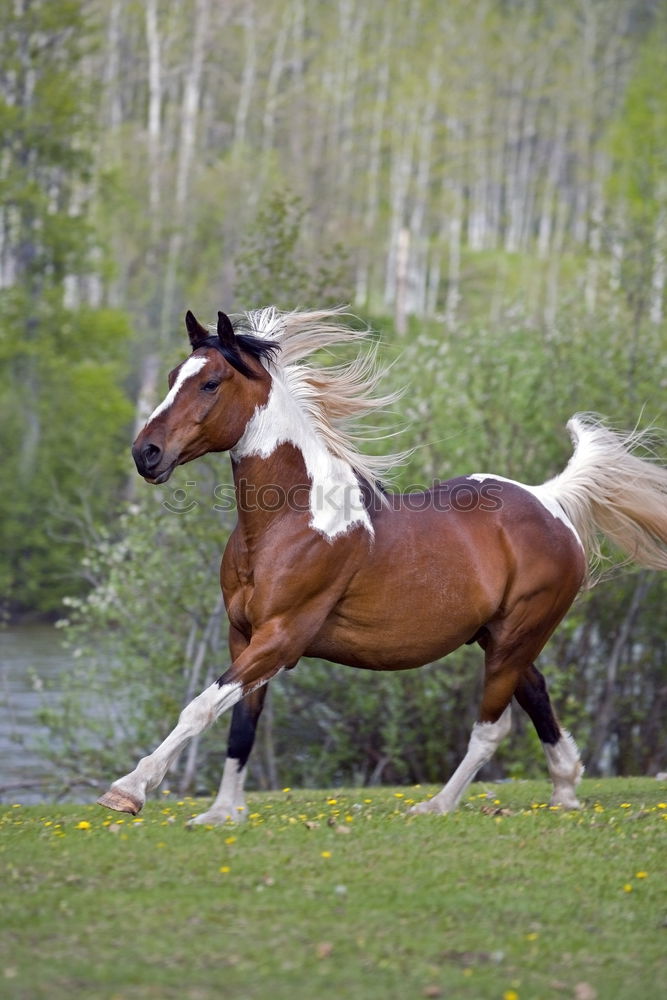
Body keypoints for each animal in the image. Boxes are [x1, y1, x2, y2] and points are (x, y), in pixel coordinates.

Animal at [96, 306, 667, 820]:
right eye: (174, 376)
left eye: (211, 383)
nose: (145, 454)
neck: (291, 522)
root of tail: (551, 501)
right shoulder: (244, 637)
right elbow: (240, 724)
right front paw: (221, 813)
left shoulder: (282, 638)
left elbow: (200, 707)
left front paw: (129, 790)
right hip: (500, 636)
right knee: (538, 697)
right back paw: (565, 790)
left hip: (517, 635)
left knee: (492, 728)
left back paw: (436, 805)